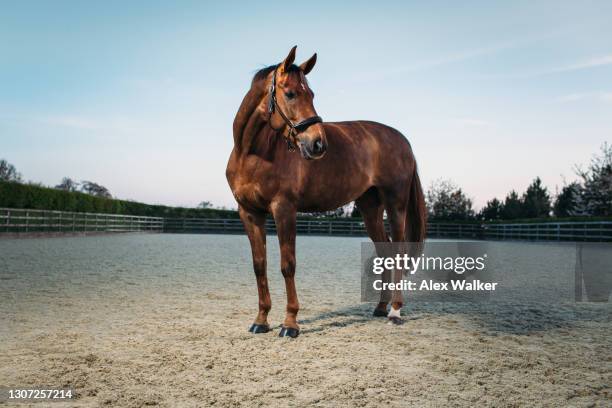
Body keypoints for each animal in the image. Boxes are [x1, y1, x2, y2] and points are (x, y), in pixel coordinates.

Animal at [226, 45, 426, 338]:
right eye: (290, 93)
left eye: (311, 94)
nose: (318, 144)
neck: (254, 153)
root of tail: (403, 141)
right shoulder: (250, 213)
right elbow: (259, 265)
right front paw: (261, 320)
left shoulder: (284, 209)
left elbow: (288, 265)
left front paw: (290, 324)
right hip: (370, 208)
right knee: (385, 254)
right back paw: (380, 308)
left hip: (395, 205)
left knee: (398, 254)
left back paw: (395, 311)